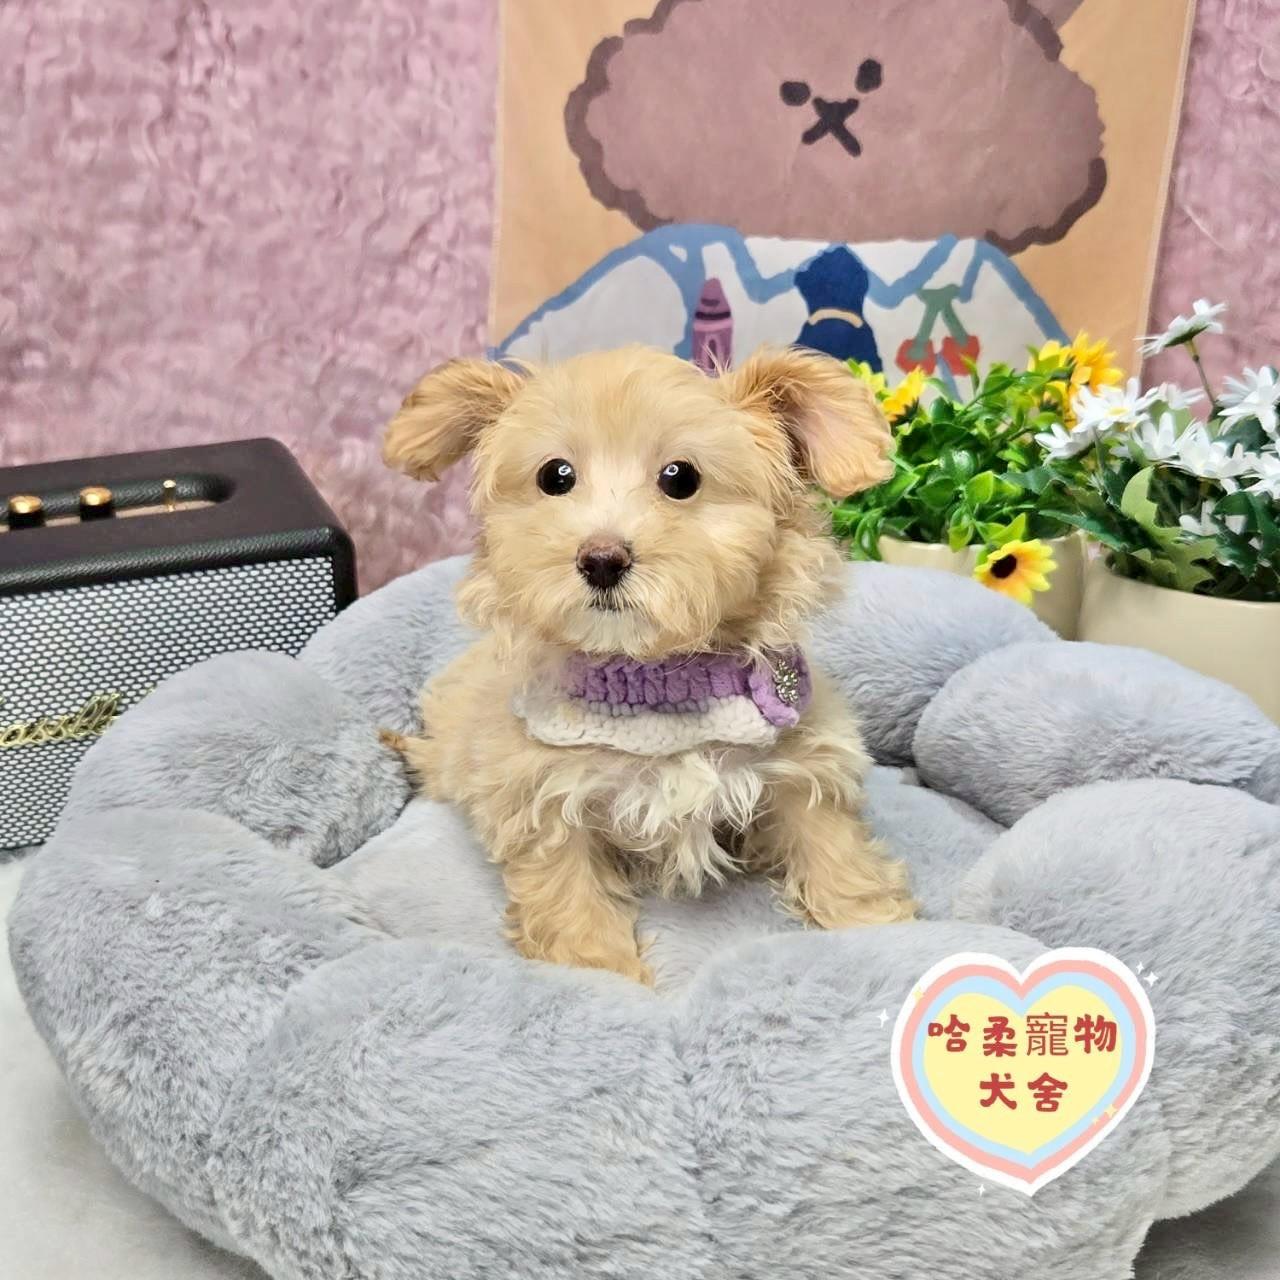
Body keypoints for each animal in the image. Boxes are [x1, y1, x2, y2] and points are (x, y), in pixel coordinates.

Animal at [382, 345, 916, 984]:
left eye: (680, 477)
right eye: (555, 476)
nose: (601, 559)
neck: (656, 680)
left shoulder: (801, 758)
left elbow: (829, 839)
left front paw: (875, 923)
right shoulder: (542, 792)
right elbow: (568, 888)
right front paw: (599, 972)